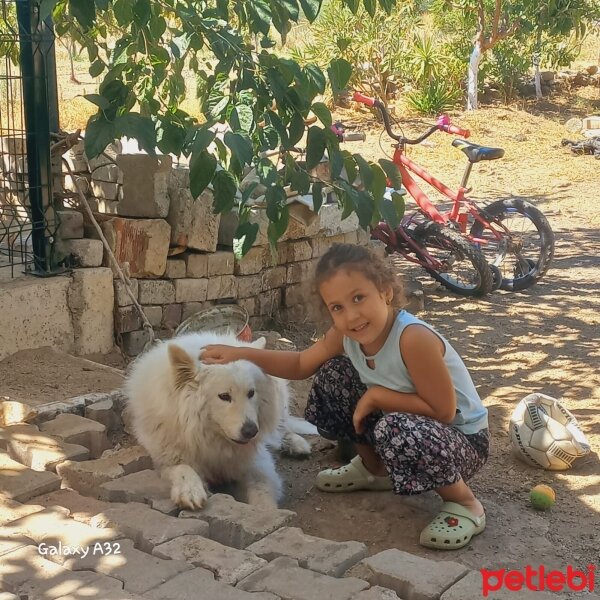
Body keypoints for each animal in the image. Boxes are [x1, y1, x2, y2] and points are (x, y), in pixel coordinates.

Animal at [125, 332, 316, 510]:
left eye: (251, 393)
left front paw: (266, 511)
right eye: (224, 396)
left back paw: (296, 444)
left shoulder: (255, 460)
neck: (211, 440)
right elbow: (183, 468)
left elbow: (262, 487)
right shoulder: (166, 458)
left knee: (282, 427)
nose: (251, 431)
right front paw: (190, 490)